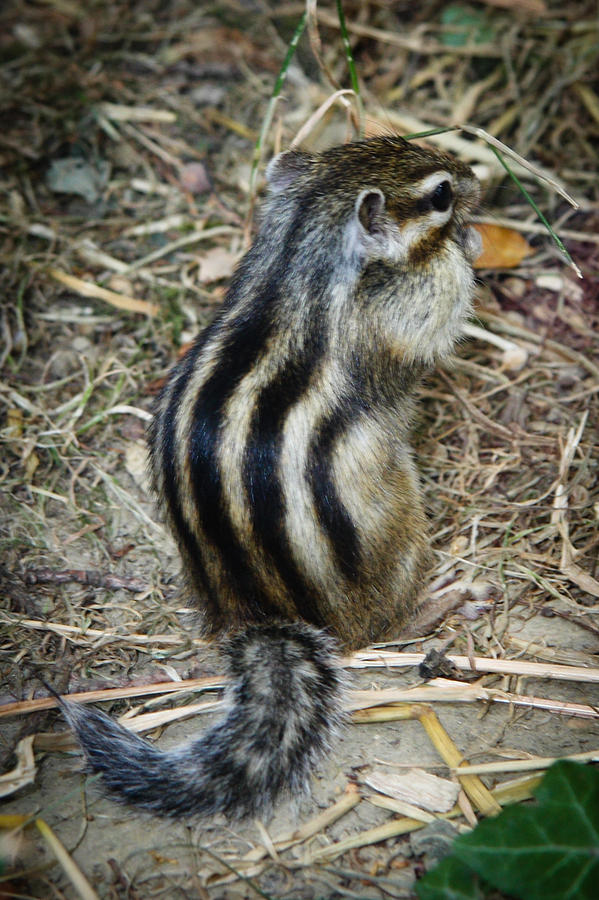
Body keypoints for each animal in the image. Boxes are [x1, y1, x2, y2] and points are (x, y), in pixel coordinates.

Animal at [61, 137, 482, 820]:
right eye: (442, 193)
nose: (478, 181)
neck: (296, 261)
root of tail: (260, 612)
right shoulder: (408, 315)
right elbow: (441, 317)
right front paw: (469, 243)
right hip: (398, 531)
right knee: (378, 629)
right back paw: (444, 597)